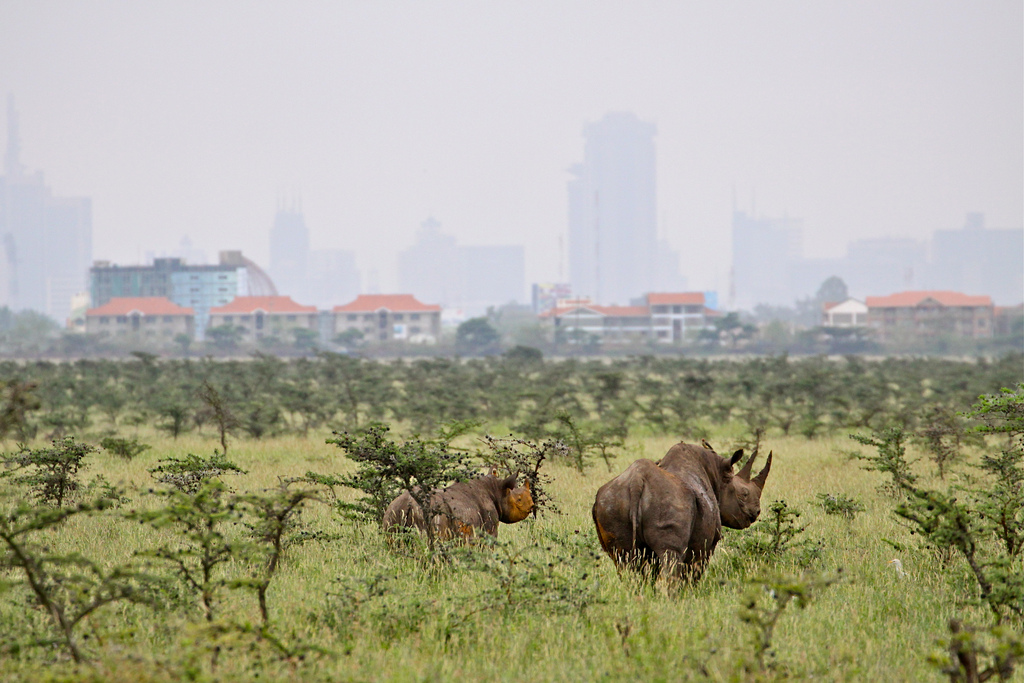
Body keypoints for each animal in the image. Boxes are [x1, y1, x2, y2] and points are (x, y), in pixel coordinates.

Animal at [380, 473, 532, 540]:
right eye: (519, 499)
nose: (531, 506)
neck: (496, 490)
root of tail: (410, 503)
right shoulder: (489, 526)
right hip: (434, 515)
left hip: (393, 510)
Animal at [589, 444, 770, 581]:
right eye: (743, 494)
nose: (756, 512)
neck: (716, 474)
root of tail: (636, 481)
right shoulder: (708, 544)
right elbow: (694, 572)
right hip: (669, 500)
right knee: (671, 559)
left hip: (612, 501)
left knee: (624, 562)